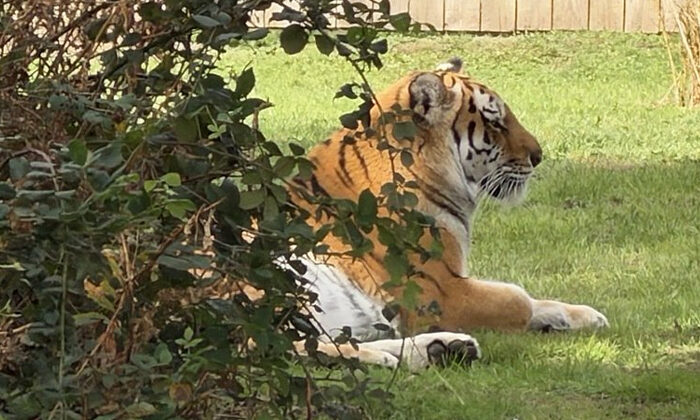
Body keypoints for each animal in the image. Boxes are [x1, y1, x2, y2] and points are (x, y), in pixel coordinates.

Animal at [281, 57, 608, 371]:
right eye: (495, 123)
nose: (538, 157)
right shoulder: (440, 292)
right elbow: (519, 299)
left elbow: (537, 301)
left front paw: (587, 316)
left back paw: (443, 349)